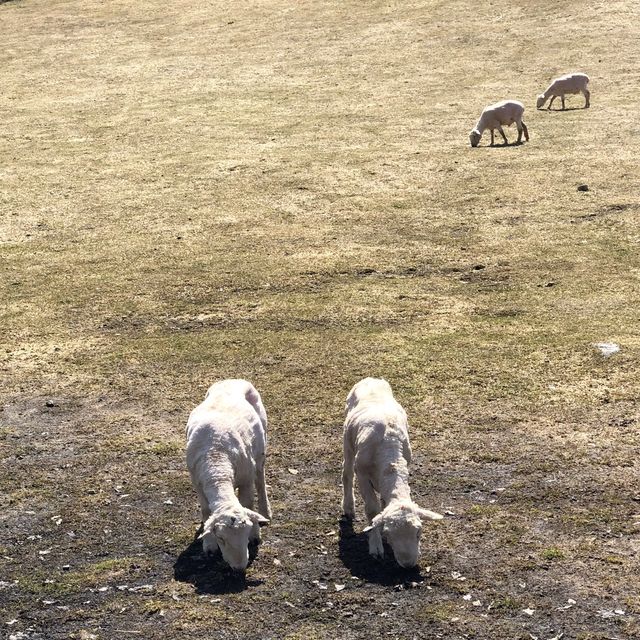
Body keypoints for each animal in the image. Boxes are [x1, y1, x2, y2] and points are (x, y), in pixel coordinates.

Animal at [188, 378, 272, 572]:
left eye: (246, 533)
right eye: (221, 538)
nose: (239, 567)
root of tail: (234, 380)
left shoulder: (246, 480)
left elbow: (248, 505)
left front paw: (255, 534)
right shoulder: (198, 484)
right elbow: (206, 511)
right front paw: (209, 545)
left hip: (261, 448)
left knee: (261, 479)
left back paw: (266, 511)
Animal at [340, 378, 444, 568]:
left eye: (419, 531)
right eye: (389, 533)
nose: (408, 564)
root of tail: (371, 378)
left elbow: (382, 504)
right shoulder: (363, 475)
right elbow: (372, 510)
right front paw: (376, 545)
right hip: (347, 441)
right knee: (347, 473)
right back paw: (348, 507)